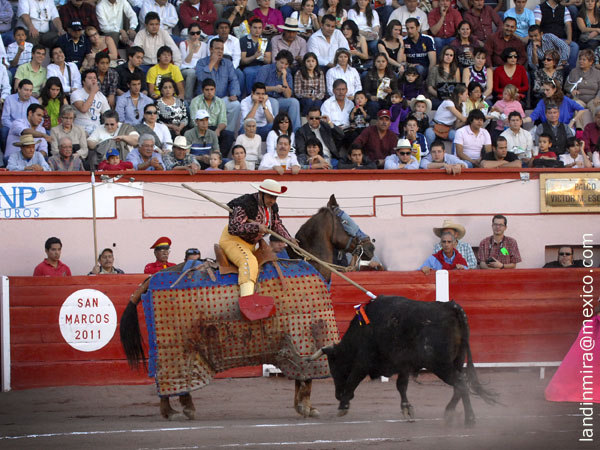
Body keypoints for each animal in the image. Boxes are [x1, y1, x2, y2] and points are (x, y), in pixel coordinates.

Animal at [119, 195, 376, 420]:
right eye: (346, 221)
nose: (370, 247)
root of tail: (149, 280)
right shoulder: (304, 335)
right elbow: (307, 376)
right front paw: (307, 407)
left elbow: (300, 375)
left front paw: (302, 406)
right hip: (177, 347)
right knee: (171, 377)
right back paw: (178, 410)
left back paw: (176, 409)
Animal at [312, 296, 500, 426]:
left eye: (334, 369)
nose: (337, 395)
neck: (362, 331)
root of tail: (451, 307)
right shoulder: (403, 365)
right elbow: (401, 386)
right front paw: (407, 409)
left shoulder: (363, 362)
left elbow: (352, 380)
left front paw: (343, 406)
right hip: (457, 361)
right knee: (460, 384)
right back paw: (453, 414)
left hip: (441, 365)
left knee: (460, 383)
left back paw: (467, 418)